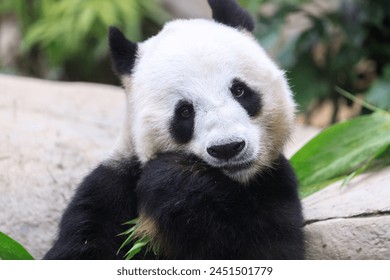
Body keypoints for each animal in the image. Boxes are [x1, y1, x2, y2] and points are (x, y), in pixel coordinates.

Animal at [43, 0, 304, 260]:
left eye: (239, 90)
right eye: (185, 111)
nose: (227, 147)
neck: (231, 182)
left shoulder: (275, 184)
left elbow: (266, 245)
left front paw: (172, 179)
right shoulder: (108, 189)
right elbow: (83, 244)